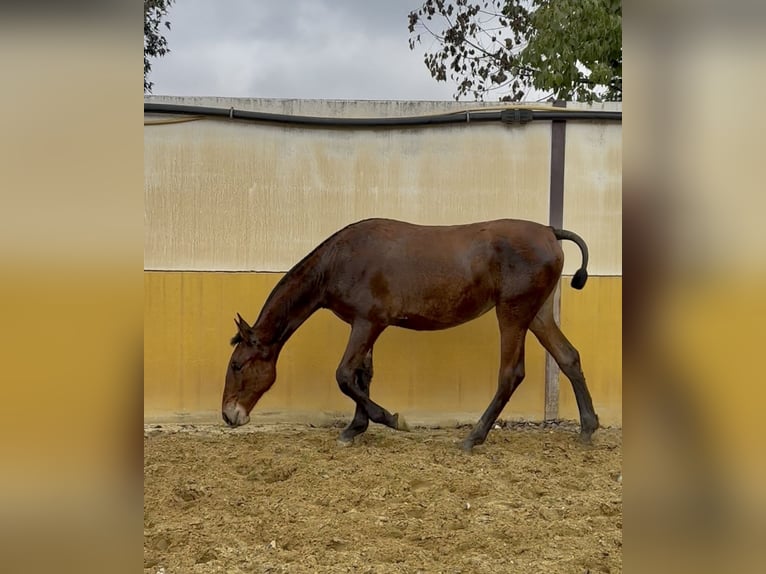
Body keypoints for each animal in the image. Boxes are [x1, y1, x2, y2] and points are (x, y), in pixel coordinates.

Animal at [222, 218, 599, 451]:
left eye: (237, 365)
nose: (228, 415)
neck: (339, 260)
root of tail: (550, 231)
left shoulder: (367, 322)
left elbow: (344, 375)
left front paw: (391, 419)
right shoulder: (366, 325)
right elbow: (362, 376)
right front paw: (355, 428)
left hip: (513, 313)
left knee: (511, 374)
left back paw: (473, 438)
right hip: (538, 314)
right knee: (569, 358)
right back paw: (588, 428)